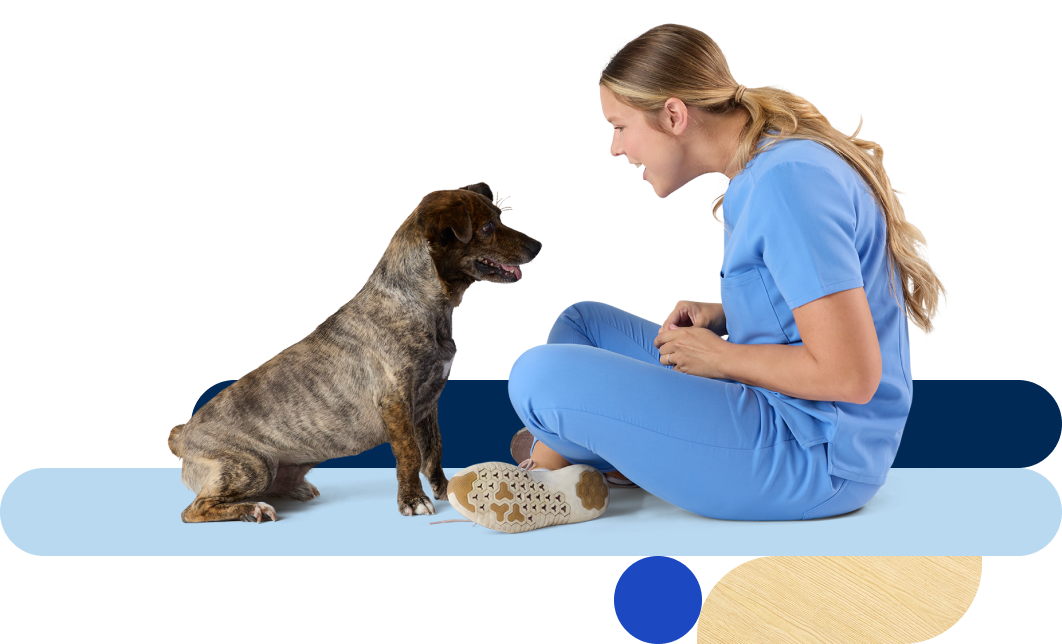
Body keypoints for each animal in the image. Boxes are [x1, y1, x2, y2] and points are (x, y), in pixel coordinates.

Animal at [170, 182, 547, 524]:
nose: (538, 246)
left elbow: (434, 452)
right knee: (194, 510)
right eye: (487, 228)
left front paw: (444, 490)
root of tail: (182, 436)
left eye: (501, 217)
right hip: (251, 465)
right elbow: (410, 455)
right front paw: (413, 500)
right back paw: (252, 509)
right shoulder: (396, 403)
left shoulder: (427, 405)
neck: (417, 302)